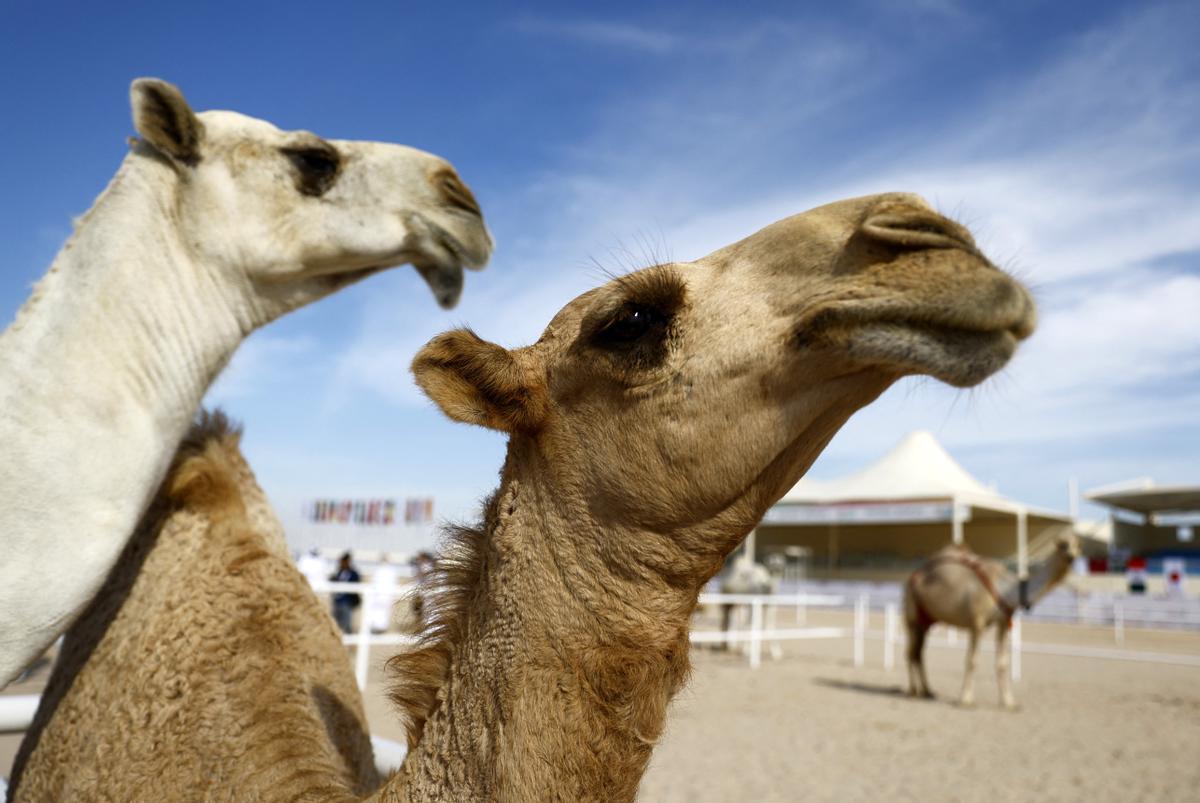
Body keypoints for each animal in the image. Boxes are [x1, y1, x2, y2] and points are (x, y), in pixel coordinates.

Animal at [902, 532, 1084, 705]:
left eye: (1077, 544)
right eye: (1062, 545)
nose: (1071, 556)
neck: (1005, 589)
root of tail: (912, 576)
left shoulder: (1003, 622)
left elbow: (1002, 663)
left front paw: (1009, 702)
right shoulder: (977, 622)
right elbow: (972, 660)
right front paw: (966, 699)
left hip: (927, 620)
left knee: (918, 652)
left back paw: (927, 691)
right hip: (912, 614)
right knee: (911, 652)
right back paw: (913, 692)